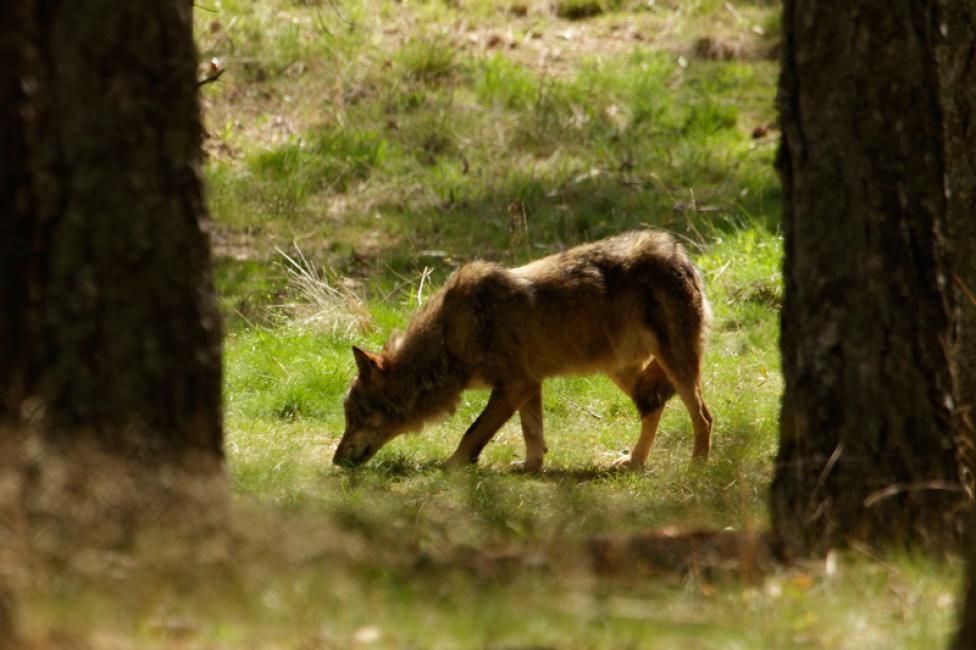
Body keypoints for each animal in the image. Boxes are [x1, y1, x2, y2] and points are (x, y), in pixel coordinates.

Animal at [338, 230, 716, 468]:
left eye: (357, 416)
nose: (336, 459)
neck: (447, 337)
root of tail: (678, 252)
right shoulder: (530, 385)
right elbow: (532, 435)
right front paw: (531, 466)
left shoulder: (515, 385)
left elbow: (472, 432)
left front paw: (451, 466)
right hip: (623, 369)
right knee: (653, 406)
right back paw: (635, 461)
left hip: (673, 366)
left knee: (703, 417)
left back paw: (697, 467)